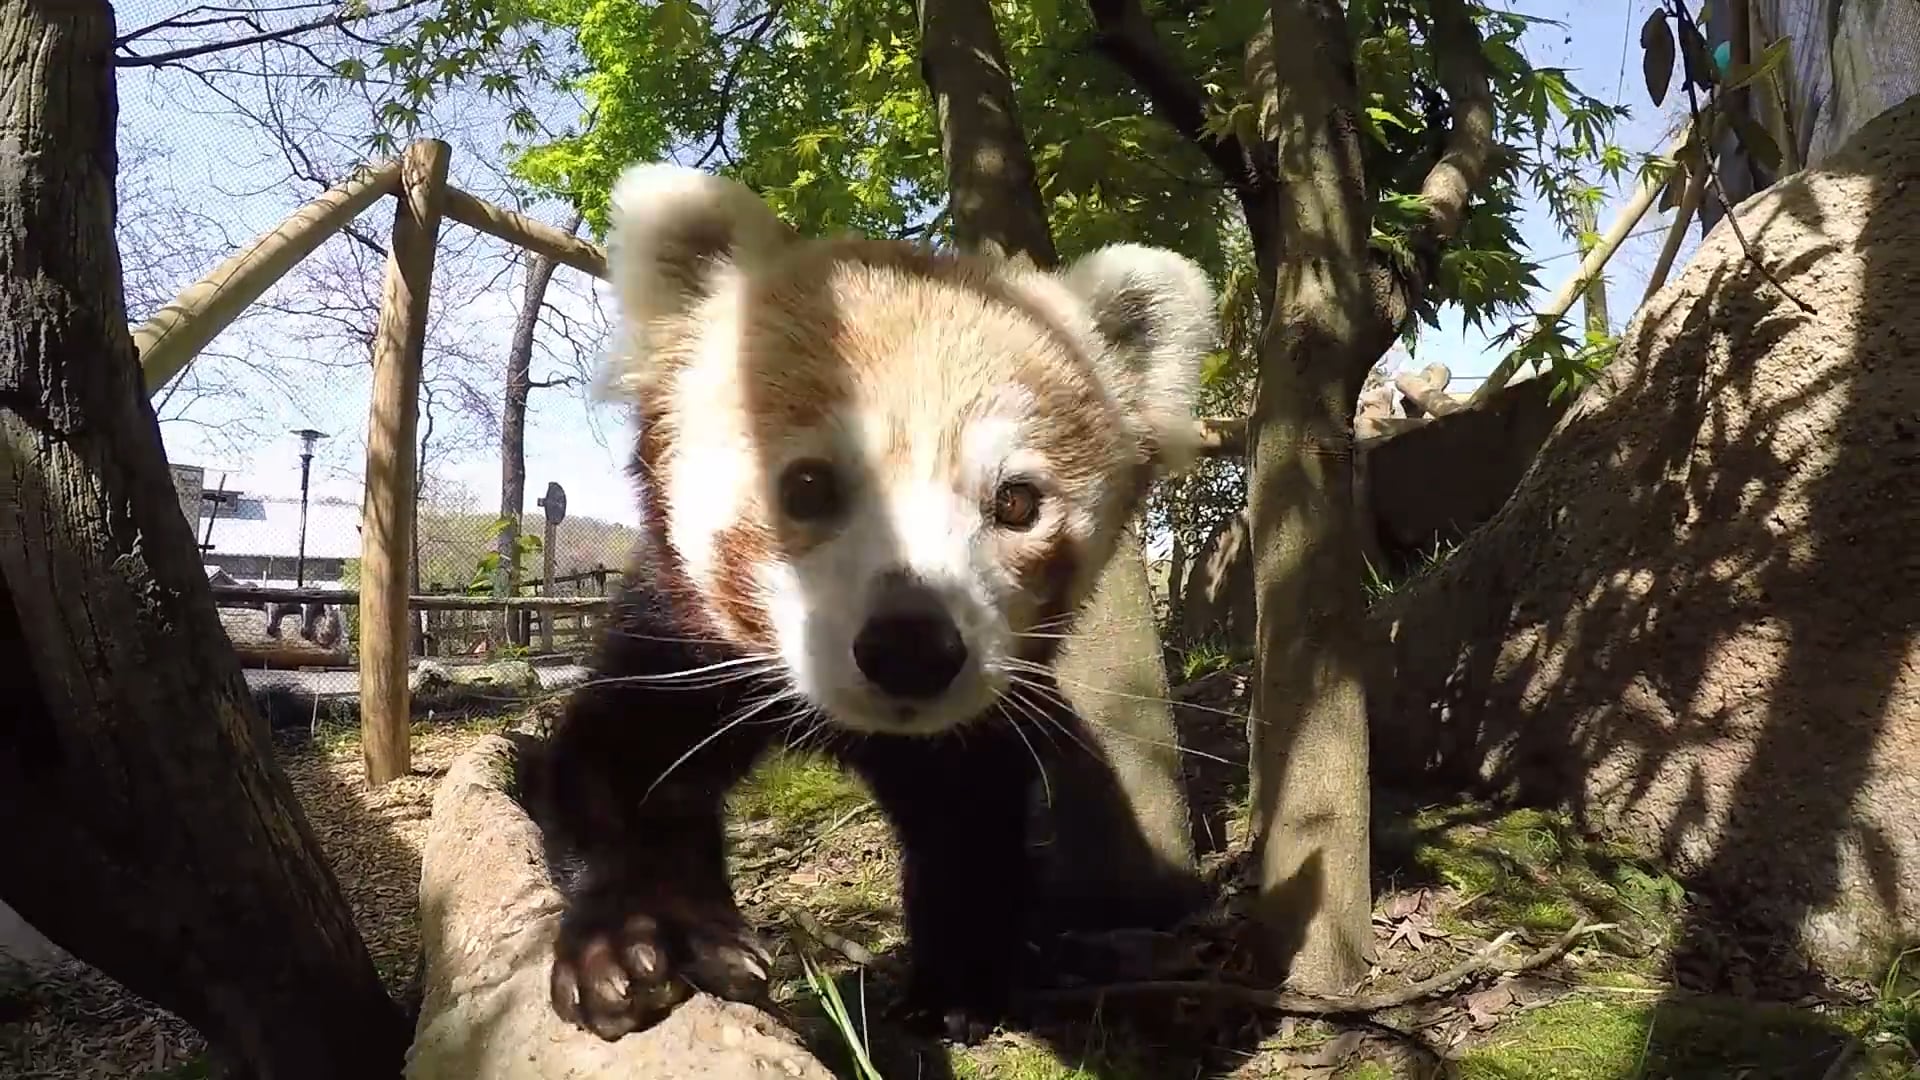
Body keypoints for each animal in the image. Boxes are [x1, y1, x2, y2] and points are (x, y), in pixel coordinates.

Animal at [541, 161, 1218, 1045]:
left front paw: (954, 984)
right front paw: (629, 940)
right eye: (807, 486)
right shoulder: (677, 637)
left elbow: (969, 828)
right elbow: (615, 765)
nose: (912, 647)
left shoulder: (973, 724)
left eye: (1017, 503)